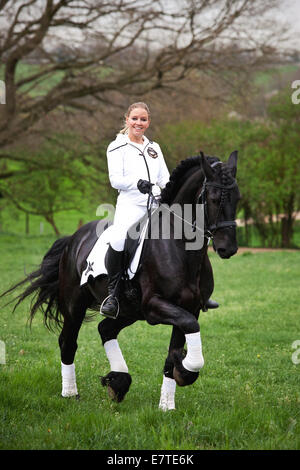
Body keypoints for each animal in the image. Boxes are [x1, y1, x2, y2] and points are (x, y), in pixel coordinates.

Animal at [0, 152, 239, 410]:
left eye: (238, 198)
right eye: (213, 199)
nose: (228, 249)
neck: (181, 248)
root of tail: (73, 238)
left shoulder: (189, 308)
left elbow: (179, 341)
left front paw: (167, 403)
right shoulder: (154, 306)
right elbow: (189, 330)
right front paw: (185, 370)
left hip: (128, 311)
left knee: (105, 329)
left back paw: (118, 382)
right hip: (75, 305)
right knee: (68, 342)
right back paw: (71, 393)